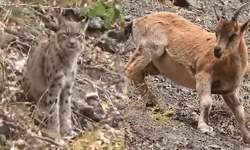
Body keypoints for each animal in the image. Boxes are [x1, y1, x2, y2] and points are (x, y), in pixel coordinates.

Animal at [125, 3, 250, 143]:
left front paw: (247, 138)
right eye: (216, 32)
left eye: (234, 35)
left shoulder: (229, 91)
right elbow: (207, 101)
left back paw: (153, 102)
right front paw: (204, 126)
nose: (217, 50)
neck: (226, 66)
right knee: (129, 69)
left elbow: (239, 111)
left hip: (155, 64)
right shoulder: (203, 75)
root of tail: (137, 21)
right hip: (150, 48)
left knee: (138, 74)